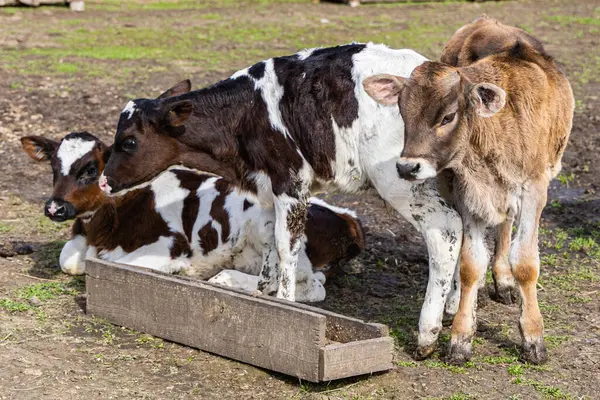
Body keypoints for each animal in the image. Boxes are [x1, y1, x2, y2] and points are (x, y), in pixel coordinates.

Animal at [21, 133, 366, 302]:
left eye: (91, 169)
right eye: (53, 167)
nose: (54, 208)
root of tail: (349, 218)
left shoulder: (166, 247)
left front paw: (183, 271)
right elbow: (69, 260)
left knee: (309, 286)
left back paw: (225, 280)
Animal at [99, 44, 464, 360]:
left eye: (128, 142)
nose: (103, 182)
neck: (247, 113)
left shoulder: (292, 185)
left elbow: (287, 249)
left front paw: (287, 309)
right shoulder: (267, 193)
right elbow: (272, 251)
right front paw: (263, 299)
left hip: (401, 179)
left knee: (446, 230)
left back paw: (428, 332)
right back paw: (451, 309)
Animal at [364, 17, 576, 364]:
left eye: (448, 116)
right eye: (403, 113)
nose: (407, 168)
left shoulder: (534, 190)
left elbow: (526, 263)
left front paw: (533, 336)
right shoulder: (468, 194)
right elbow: (470, 264)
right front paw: (461, 336)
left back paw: (504, 282)